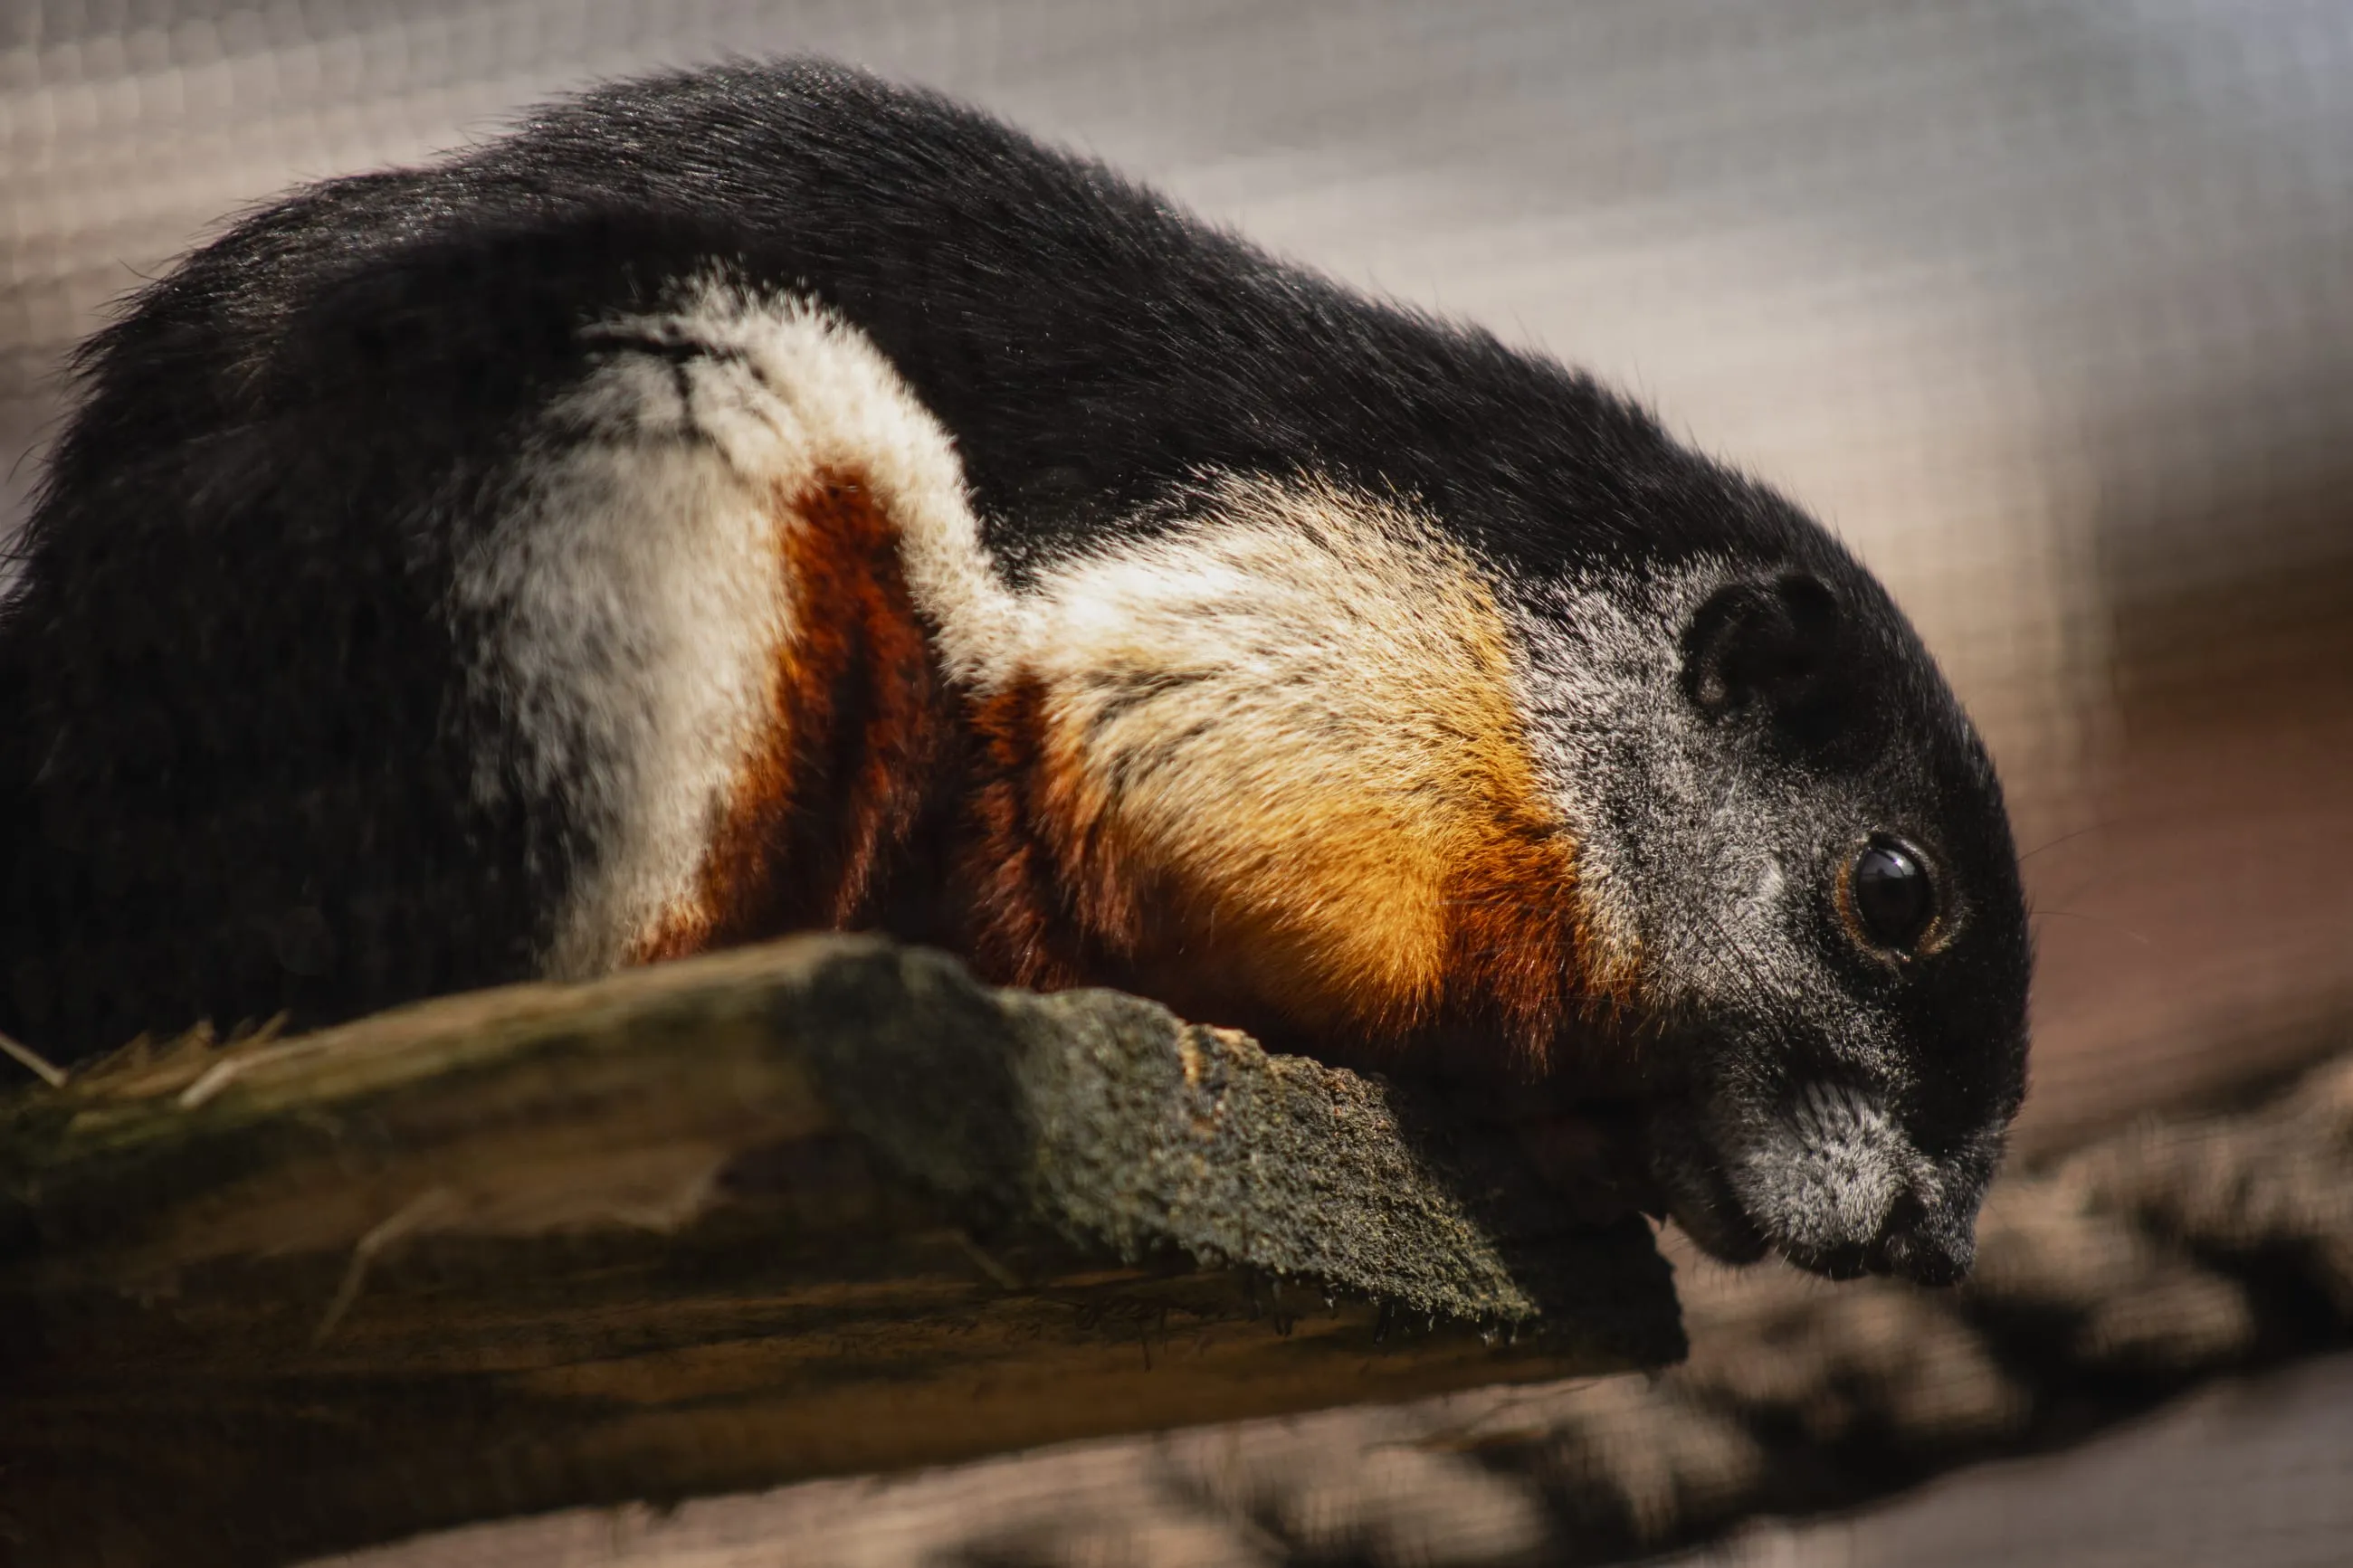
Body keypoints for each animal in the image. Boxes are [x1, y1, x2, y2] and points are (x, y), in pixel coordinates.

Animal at [0, 61, 2029, 1285]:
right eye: (1893, 891)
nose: (1935, 1244)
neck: (1543, 691)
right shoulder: (1309, 650)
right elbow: (1172, 810)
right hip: (633, 432)